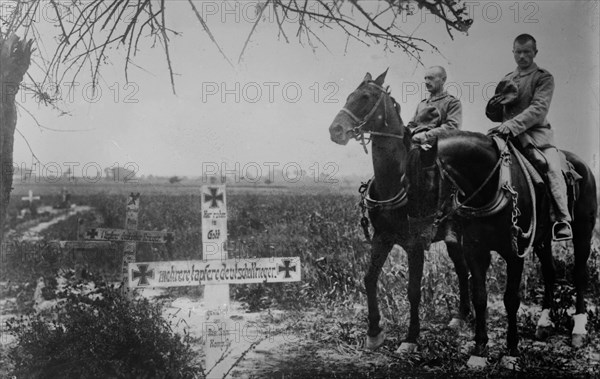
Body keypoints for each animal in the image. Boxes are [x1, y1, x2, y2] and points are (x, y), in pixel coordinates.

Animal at [328, 72, 474, 354]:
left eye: (365, 97)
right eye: (350, 95)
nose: (335, 130)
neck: (396, 181)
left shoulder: (415, 245)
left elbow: (413, 290)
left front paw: (411, 337)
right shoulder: (382, 238)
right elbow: (369, 279)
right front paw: (374, 332)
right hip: (452, 237)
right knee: (463, 270)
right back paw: (460, 316)